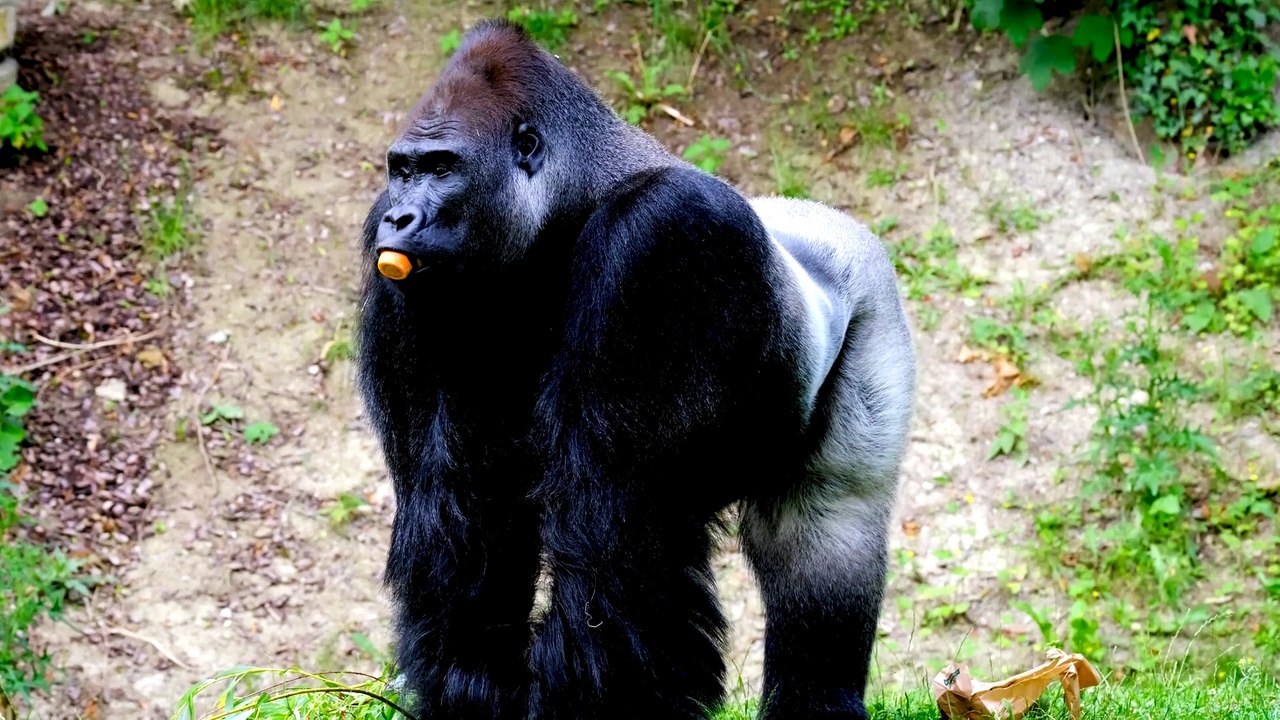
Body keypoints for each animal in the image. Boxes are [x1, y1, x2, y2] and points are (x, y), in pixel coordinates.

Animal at [355, 19, 915, 720]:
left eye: (440, 167)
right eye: (402, 172)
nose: (401, 217)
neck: (572, 206)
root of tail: (808, 215)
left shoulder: (659, 237)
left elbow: (611, 539)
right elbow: (458, 510)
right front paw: (469, 690)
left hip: (872, 298)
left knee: (826, 527)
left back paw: (818, 699)